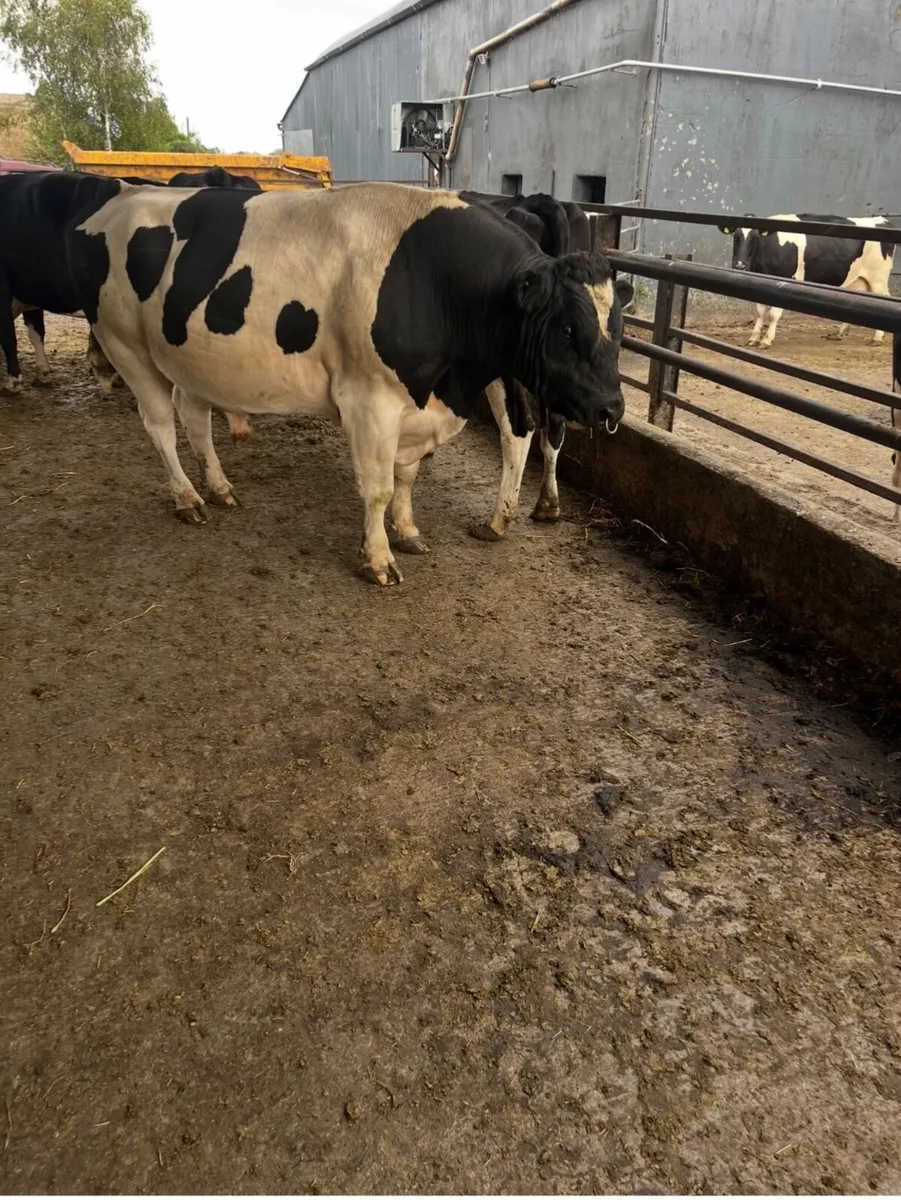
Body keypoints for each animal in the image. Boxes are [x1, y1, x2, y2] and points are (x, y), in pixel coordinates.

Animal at [65, 181, 630, 584]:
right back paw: (188, 499)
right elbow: (377, 488)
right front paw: (378, 558)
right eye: (566, 328)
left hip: (189, 357)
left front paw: (407, 532)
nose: (613, 408)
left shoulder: (418, 404)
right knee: (160, 425)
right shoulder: (369, 400)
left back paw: (221, 488)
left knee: (194, 417)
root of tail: (119, 199)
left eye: (620, 326)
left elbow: (407, 477)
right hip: (127, 345)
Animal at [719, 214, 896, 350]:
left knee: (884, 299)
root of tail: (882, 220)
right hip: (859, 279)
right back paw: (839, 334)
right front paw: (754, 338)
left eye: (755, 238)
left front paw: (766, 340)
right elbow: (760, 311)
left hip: (878, 277)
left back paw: (877, 338)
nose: (740, 265)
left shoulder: (785, 280)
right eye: (736, 237)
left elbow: (773, 314)